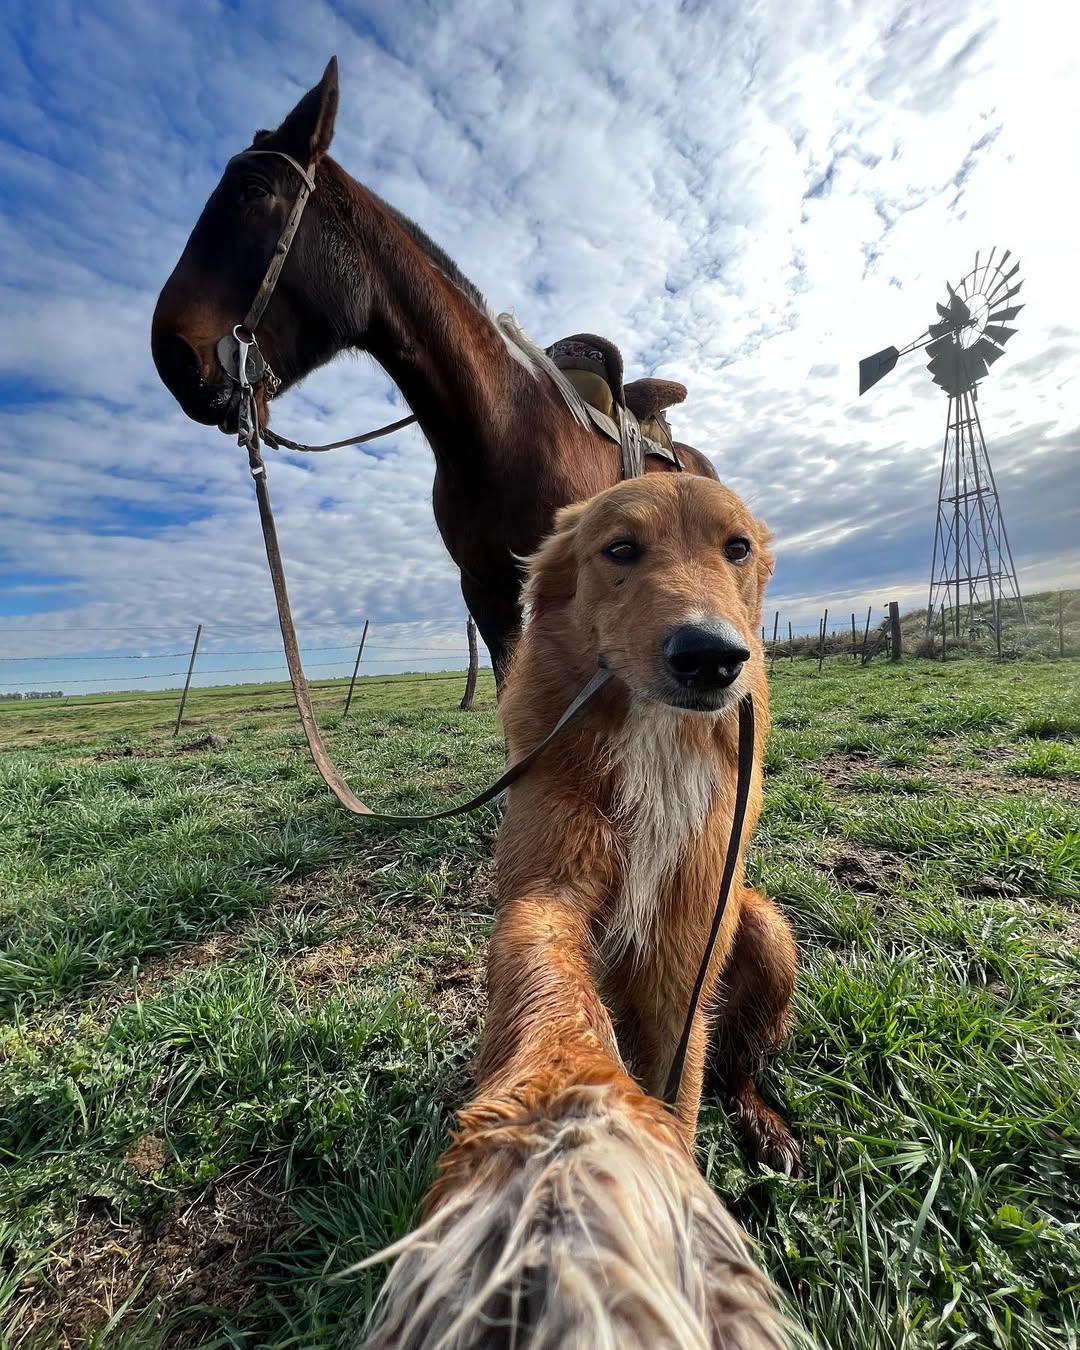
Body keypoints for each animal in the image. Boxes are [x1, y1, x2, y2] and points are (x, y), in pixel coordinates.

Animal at [359, 472, 799, 1339]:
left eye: (735, 548)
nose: (712, 657)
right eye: (620, 549)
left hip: (765, 926)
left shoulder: (686, 950)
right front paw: (565, 1146)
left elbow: (685, 1089)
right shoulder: (544, 890)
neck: (653, 738)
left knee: (737, 1061)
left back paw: (765, 1123)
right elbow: (550, 989)